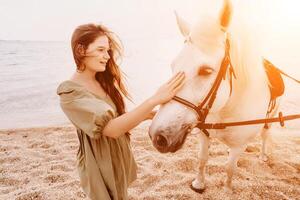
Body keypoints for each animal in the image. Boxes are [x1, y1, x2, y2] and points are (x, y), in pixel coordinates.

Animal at [149, 0, 280, 192]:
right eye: (173, 66)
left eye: (206, 70)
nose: (158, 136)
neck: (226, 109)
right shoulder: (204, 134)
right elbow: (202, 159)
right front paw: (199, 184)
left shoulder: (239, 145)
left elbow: (230, 167)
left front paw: (227, 190)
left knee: (265, 135)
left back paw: (263, 155)